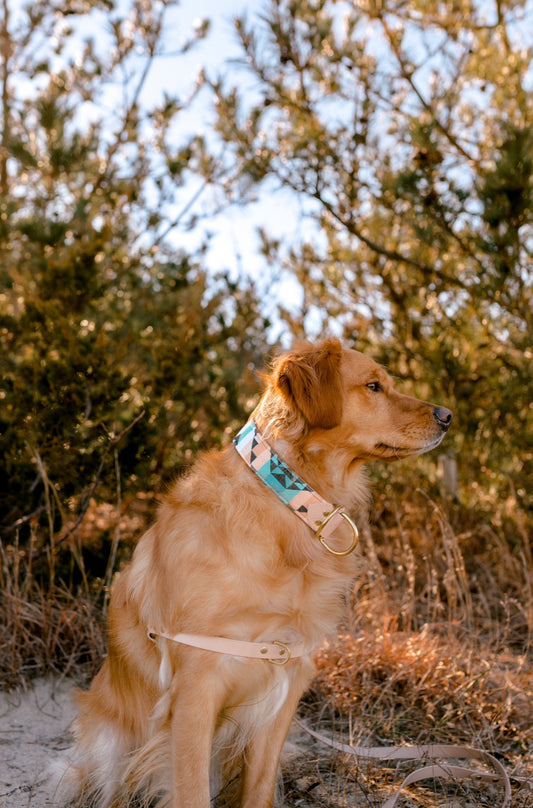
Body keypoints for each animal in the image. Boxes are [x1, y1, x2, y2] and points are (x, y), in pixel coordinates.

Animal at [54, 340, 450, 808]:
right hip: (110, 744)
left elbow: (259, 789)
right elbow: (191, 791)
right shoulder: (196, 685)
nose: (447, 415)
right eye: (373, 386)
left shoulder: (285, 675)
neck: (289, 501)